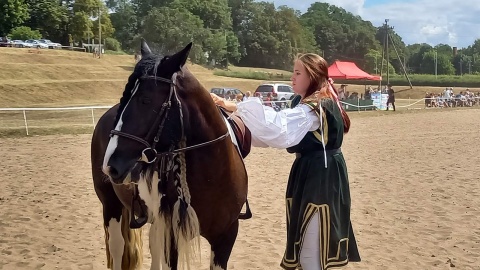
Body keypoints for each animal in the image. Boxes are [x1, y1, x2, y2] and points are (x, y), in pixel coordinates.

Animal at [91, 40, 253, 270]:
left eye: (145, 100)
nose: (110, 165)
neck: (213, 177)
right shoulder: (172, 237)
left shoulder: (226, 236)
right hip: (110, 205)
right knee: (117, 247)